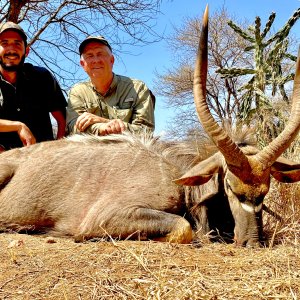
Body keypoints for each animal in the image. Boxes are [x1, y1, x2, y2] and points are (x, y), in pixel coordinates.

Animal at [0, 5, 298, 247]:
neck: (178, 176)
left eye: (265, 191)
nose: (252, 242)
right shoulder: (104, 216)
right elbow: (184, 228)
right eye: (230, 188)